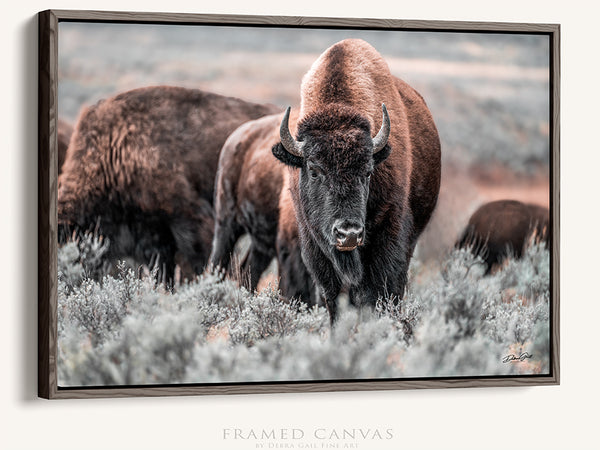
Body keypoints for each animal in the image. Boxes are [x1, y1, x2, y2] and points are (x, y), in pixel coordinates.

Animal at [272, 37, 440, 320]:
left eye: (368, 171)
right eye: (314, 170)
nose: (348, 234)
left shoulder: (390, 234)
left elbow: (380, 291)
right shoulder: (314, 244)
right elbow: (334, 297)